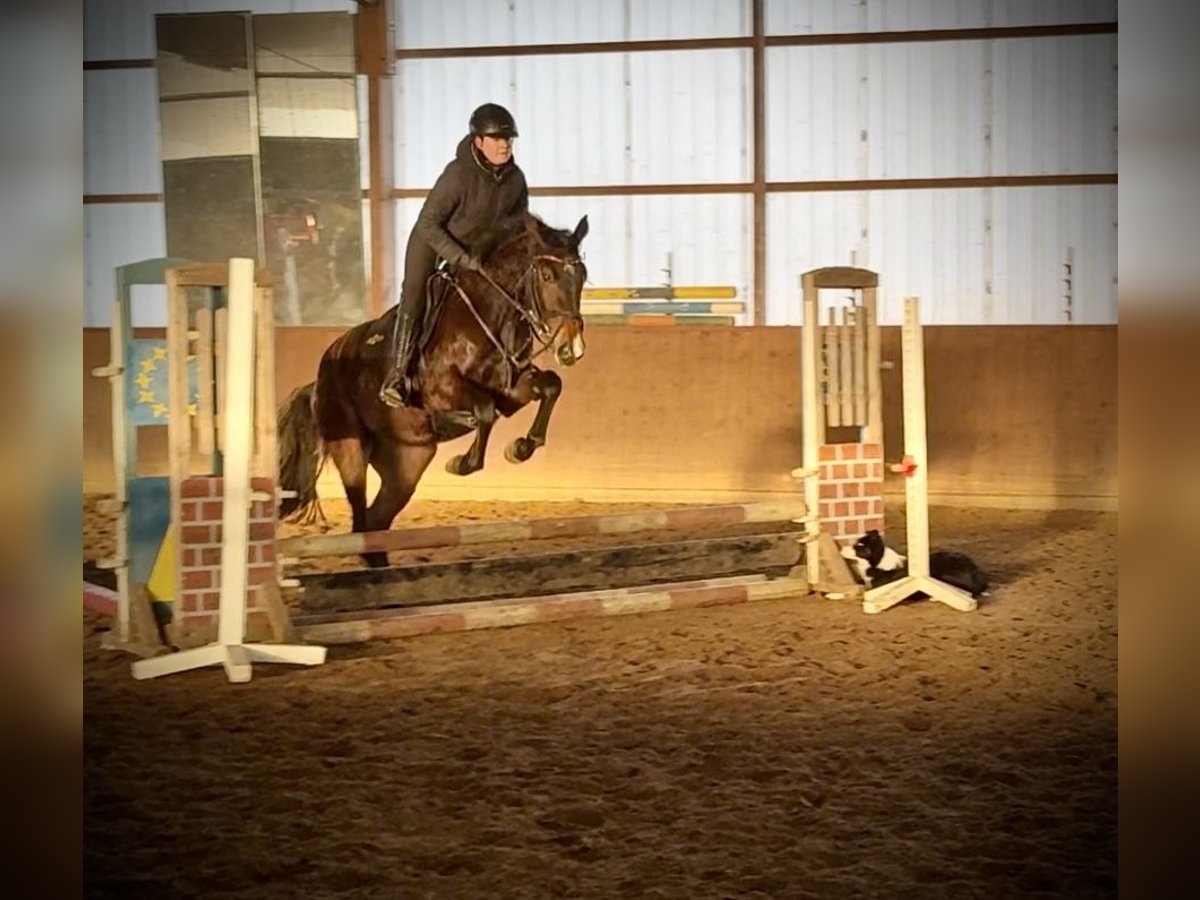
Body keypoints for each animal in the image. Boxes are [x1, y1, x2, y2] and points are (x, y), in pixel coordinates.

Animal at [276, 210, 590, 568]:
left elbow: (550, 386)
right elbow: (484, 411)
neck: (487, 316)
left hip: (408, 462)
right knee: (360, 518)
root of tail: (318, 382)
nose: (571, 348)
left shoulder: (513, 390)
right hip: (350, 448)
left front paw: (522, 447)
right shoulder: (442, 389)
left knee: (376, 520)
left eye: (582, 275)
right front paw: (463, 463)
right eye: (548, 275)